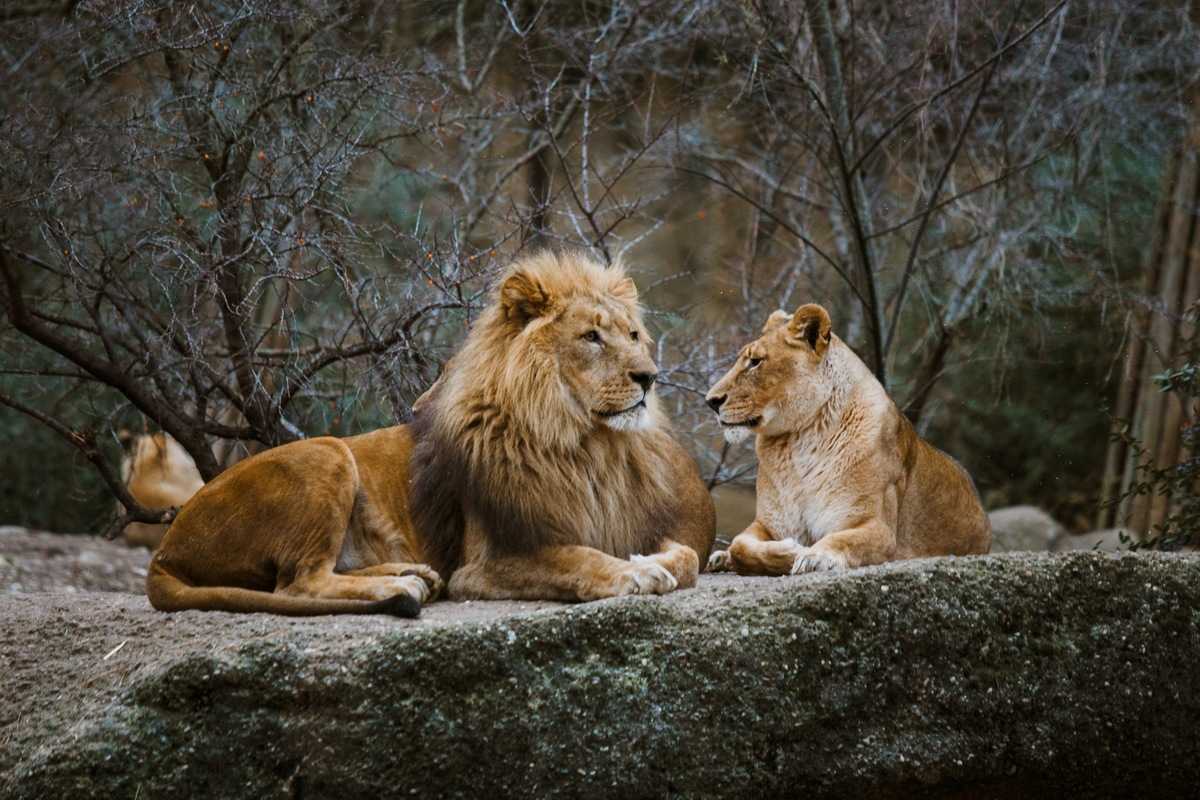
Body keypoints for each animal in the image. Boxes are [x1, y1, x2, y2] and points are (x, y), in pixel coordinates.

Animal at [146, 253, 715, 618]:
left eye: (634, 334)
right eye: (592, 336)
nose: (649, 376)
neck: (586, 444)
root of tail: (165, 549)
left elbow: (688, 557)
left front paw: (648, 561)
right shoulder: (481, 566)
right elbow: (572, 557)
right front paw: (633, 574)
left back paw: (411, 573)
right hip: (327, 454)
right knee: (295, 585)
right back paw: (401, 586)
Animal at [700, 302, 984, 575]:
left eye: (756, 362)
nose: (711, 401)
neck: (799, 442)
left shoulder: (879, 528)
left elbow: (841, 539)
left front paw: (813, 556)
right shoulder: (769, 523)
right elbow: (740, 545)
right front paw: (789, 550)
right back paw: (720, 558)